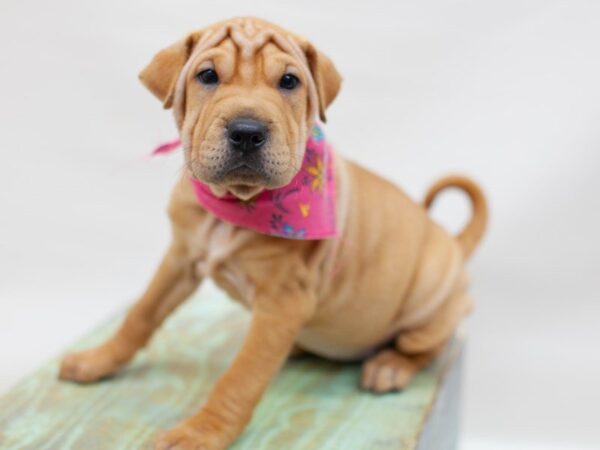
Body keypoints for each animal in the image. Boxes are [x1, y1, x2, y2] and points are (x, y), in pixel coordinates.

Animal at [58, 15, 488, 448]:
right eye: (207, 75)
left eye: (289, 81)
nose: (247, 131)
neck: (235, 205)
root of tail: (452, 243)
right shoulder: (181, 257)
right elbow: (142, 312)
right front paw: (97, 359)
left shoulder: (283, 302)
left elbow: (242, 375)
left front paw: (201, 432)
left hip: (432, 306)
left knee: (432, 344)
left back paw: (391, 365)